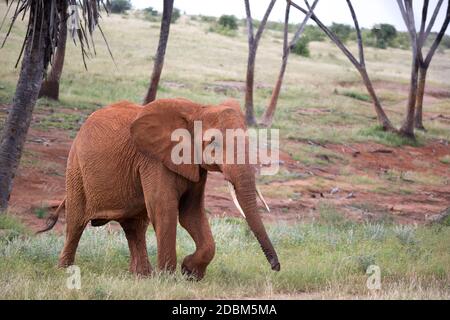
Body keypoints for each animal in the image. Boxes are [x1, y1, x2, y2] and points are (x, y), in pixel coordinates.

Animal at [39, 98, 278, 280]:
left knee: (135, 227)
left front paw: (190, 272)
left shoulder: (195, 167)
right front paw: (169, 278)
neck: (198, 108)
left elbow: (191, 214)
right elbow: (165, 209)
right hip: (75, 167)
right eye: (214, 143)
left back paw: (142, 276)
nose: (276, 267)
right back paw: (64, 271)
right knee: (76, 222)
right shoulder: (153, 161)